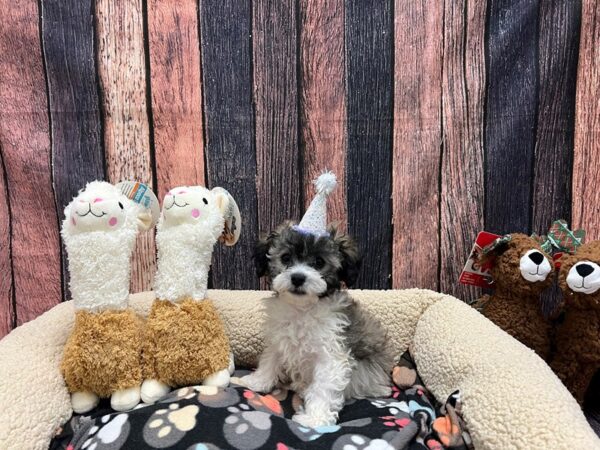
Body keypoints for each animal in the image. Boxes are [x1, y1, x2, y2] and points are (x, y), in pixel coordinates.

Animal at [239, 221, 394, 428]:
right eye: (286, 258)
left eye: (319, 262)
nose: (297, 277)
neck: (303, 309)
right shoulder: (279, 338)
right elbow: (270, 359)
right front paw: (257, 381)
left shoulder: (331, 355)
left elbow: (323, 386)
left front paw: (314, 419)